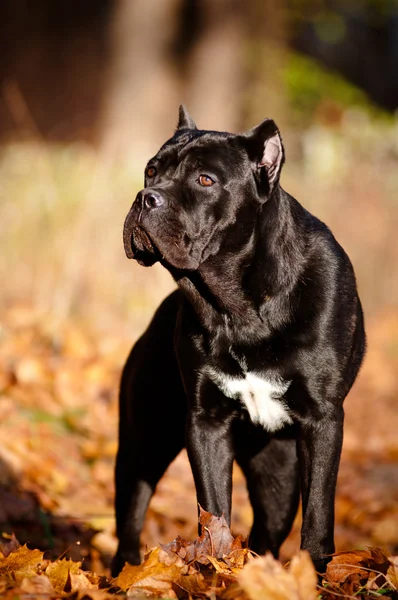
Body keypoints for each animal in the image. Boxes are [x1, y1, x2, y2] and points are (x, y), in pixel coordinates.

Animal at [112, 106, 366, 576]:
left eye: (205, 180)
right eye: (151, 171)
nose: (145, 197)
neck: (239, 304)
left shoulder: (322, 420)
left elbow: (319, 508)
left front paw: (316, 573)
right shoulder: (206, 423)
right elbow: (213, 506)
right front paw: (213, 564)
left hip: (278, 471)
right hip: (145, 439)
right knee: (131, 514)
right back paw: (127, 574)